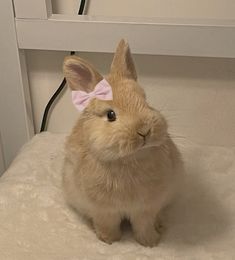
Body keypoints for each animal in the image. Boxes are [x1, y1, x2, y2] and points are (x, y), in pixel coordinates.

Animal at [62, 39, 184, 247]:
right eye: (111, 115)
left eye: (145, 101)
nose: (145, 131)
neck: (128, 160)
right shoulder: (104, 211)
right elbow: (107, 225)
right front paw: (109, 241)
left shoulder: (146, 209)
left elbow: (144, 226)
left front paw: (150, 243)